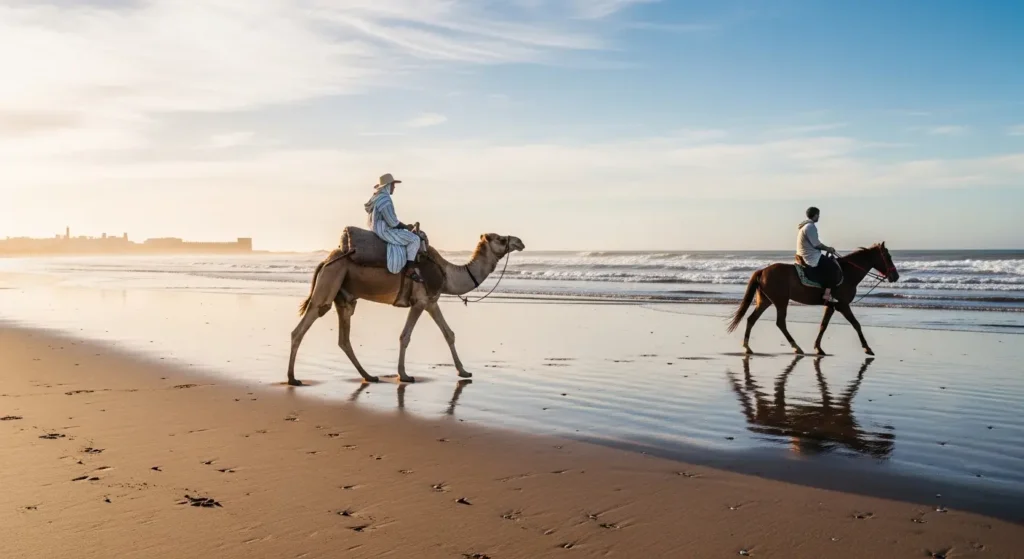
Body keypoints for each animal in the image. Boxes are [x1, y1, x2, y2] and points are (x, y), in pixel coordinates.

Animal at [287, 231, 525, 386]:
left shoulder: (431, 302)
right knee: (302, 327)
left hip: (344, 297)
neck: (447, 274)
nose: (520, 241)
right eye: (501, 239)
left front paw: (464, 371)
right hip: (330, 281)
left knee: (343, 339)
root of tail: (325, 261)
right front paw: (404, 375)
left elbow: (449, 334)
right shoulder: (420, 301)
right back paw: (293, 378)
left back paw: (369, 376)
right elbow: (405, 336)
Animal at [726, 243, 899, 355]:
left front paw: (818, 347)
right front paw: (867, 348)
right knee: (780, 323)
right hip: (781, 301)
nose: (895, 276)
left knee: (751, 319)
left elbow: (823, 325)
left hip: (765, 301)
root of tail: (762, 271)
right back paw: (796, 347)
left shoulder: (831, 306)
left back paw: (747, 347)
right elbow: (856, 324)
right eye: (888, 256)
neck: (848, 272)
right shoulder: (843, 305)